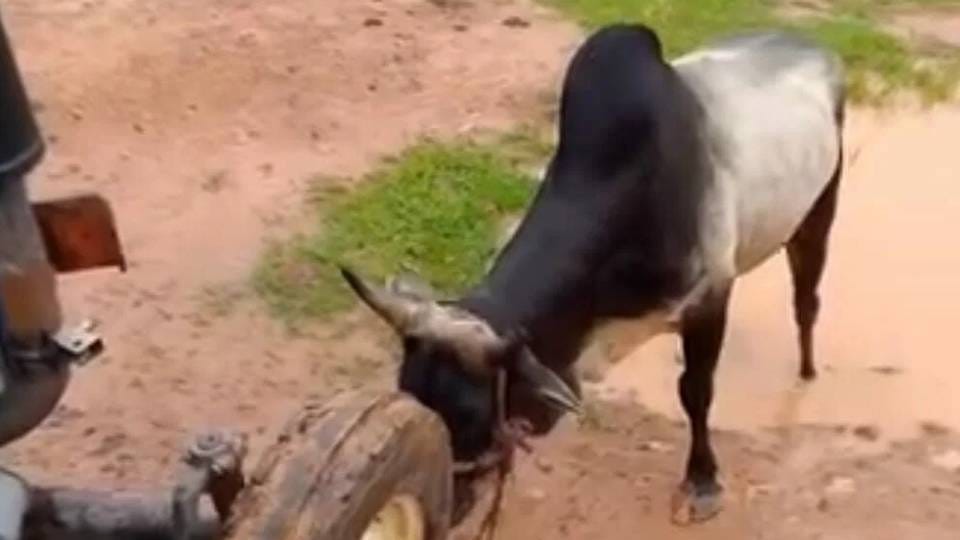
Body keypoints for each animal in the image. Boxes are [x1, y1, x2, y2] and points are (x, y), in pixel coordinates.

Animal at [341, 23, 845, 523]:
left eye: (468, 413)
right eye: (410, 392)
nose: (446, 502)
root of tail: (811, 44)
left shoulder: (709, 297)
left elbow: (696, 392)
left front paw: (702, 483)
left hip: (817, 214)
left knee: (806, 300)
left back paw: (807, 370)